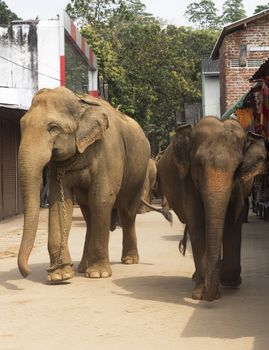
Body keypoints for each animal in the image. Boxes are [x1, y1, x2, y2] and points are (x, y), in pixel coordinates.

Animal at [17, 86, 151, 284]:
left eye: (53, 128)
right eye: (22, 125)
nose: (27, 272)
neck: (81, 103)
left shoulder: (107, 152)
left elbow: (102, 198)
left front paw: (98, 274)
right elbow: (59, 203)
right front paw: (59, 275)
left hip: (139, 173)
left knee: (126, 211)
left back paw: (129, 260)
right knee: (89, 214)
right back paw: (82, 267)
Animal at [157, 117, 266, 300]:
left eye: (238, 167)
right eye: (199, 165)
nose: (211, 294)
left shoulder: (239, 187)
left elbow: (233, 220)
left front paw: (227, 281)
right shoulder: (188, 181)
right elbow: (197, 222)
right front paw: (199, 293)